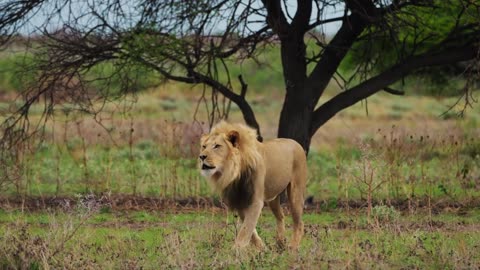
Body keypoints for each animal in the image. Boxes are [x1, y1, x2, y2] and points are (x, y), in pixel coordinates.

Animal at [199, 121, 308, 250]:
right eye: (204, 146)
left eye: (217, 146)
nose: (201, 156)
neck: (234, 173)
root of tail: (295, 142)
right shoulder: (239, 201)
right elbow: (250, 230)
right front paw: (262, 248)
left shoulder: (255, 201)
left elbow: (246, 229)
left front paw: (235, 250)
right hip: (273, 198)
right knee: (281, 216)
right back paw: (280, 243)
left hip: (296, 192)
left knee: (299, 223)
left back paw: (292, 247)